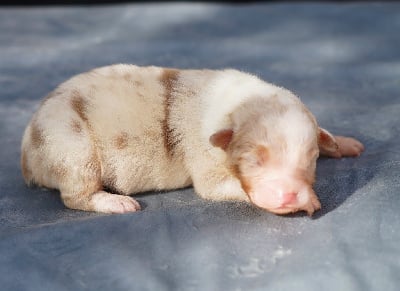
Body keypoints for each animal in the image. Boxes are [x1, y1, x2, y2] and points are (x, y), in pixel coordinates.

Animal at [21, 66, 366, 217]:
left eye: (310, 160)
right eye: (254, 160)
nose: (288, 196)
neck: (236, 103)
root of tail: (26, 157)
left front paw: (343, 142)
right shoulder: (203, 155)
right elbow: (215, 187)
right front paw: (309, 201)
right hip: (70, 146)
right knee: (75, 196)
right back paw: (115, 202)